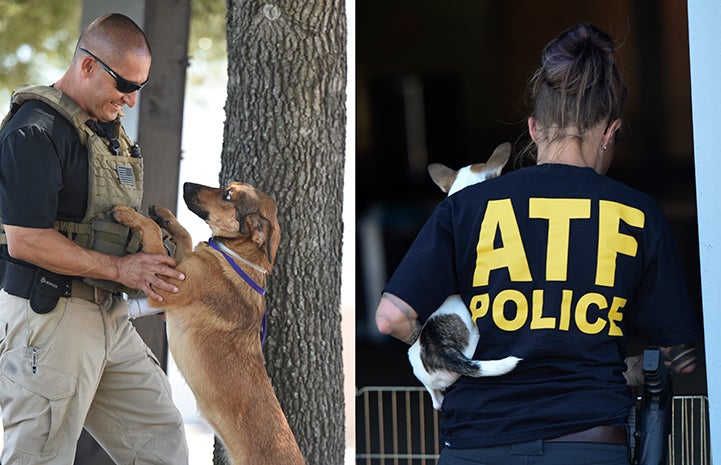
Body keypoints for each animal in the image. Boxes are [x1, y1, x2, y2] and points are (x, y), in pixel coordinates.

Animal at [112, 180, 304, 464]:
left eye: (227, 195)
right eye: (228, 188)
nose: (186, 184)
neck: (238, 256)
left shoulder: (164, 283)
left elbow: (153, 232)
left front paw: (128, 214)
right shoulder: (177, 267)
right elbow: (185, 235)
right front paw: (164, 216)